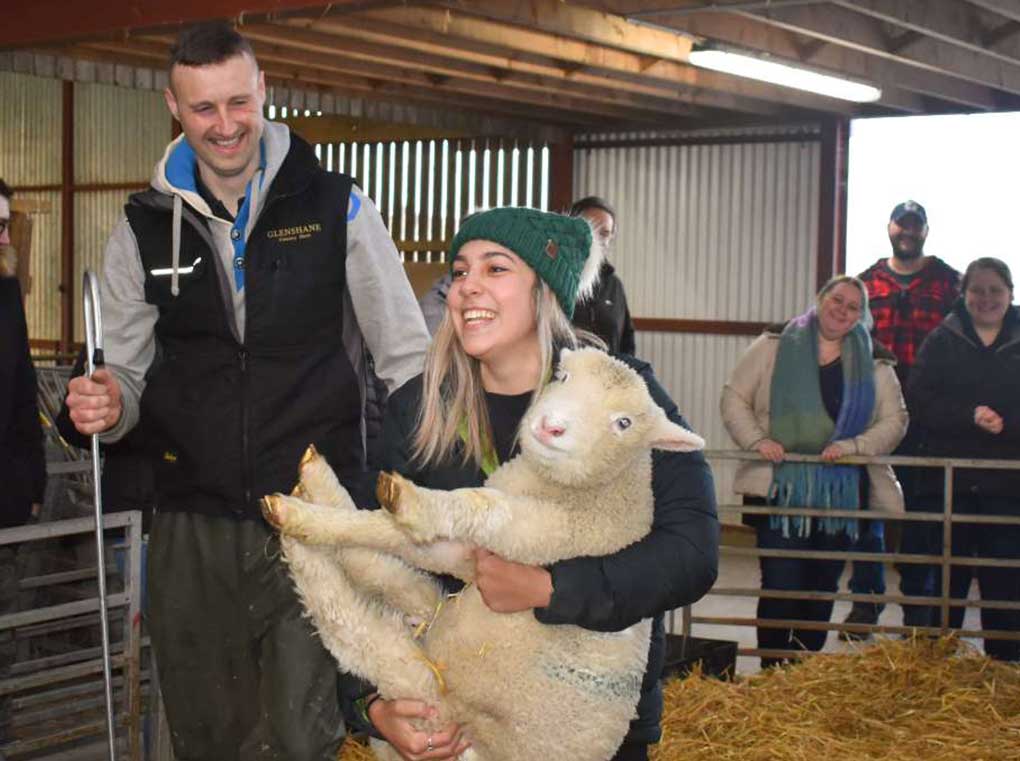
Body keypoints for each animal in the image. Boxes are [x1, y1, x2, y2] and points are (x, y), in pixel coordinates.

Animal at [261, 348, 701, 758]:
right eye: (562, 376)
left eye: (623, 423)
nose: (551, 426)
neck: (595, 491)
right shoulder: (466, 554)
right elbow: (385, 533)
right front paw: (341, 508)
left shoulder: (535, 532)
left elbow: (468, 507)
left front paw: (407, 504)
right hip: (435, 625)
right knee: (387, 577)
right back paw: (313, 487)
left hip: (431, 699)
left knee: (353, 629)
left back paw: (295, 531)